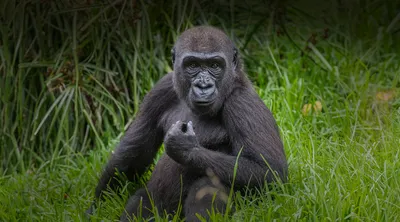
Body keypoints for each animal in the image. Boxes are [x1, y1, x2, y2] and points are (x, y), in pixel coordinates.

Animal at [88, 25, 288, 220]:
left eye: (215, 65)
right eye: (192, 65)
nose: (203, 85)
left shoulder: (243, 102)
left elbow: (270, 172)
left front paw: (186, 149)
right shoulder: (161, 88)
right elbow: (133, 153)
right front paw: (96, 208)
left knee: (209, 184)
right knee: (140, 202)